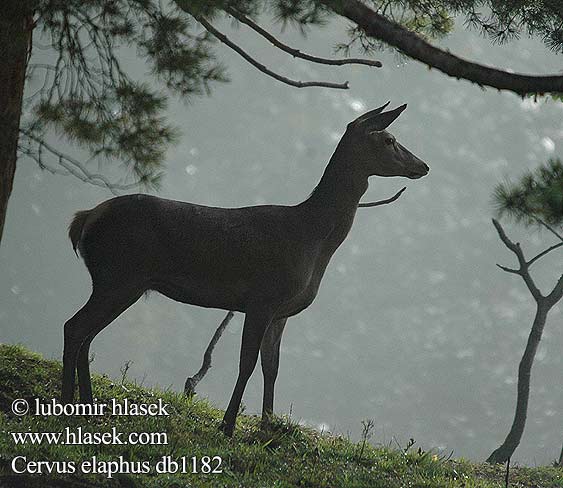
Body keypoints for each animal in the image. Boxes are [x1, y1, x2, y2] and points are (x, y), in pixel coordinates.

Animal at [62, 102, 428, 434]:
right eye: (389, 139)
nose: (423, 165)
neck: (311, 238)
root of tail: (84, 220)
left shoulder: (282, 311)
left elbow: (272, 366)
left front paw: (267, 425)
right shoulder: (262, 298)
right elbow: (247, 363)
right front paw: (227, 426)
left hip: (119, 282)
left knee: (87, 334)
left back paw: (88, 406)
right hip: (119, 275)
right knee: (74, 327)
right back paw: (68, 405)